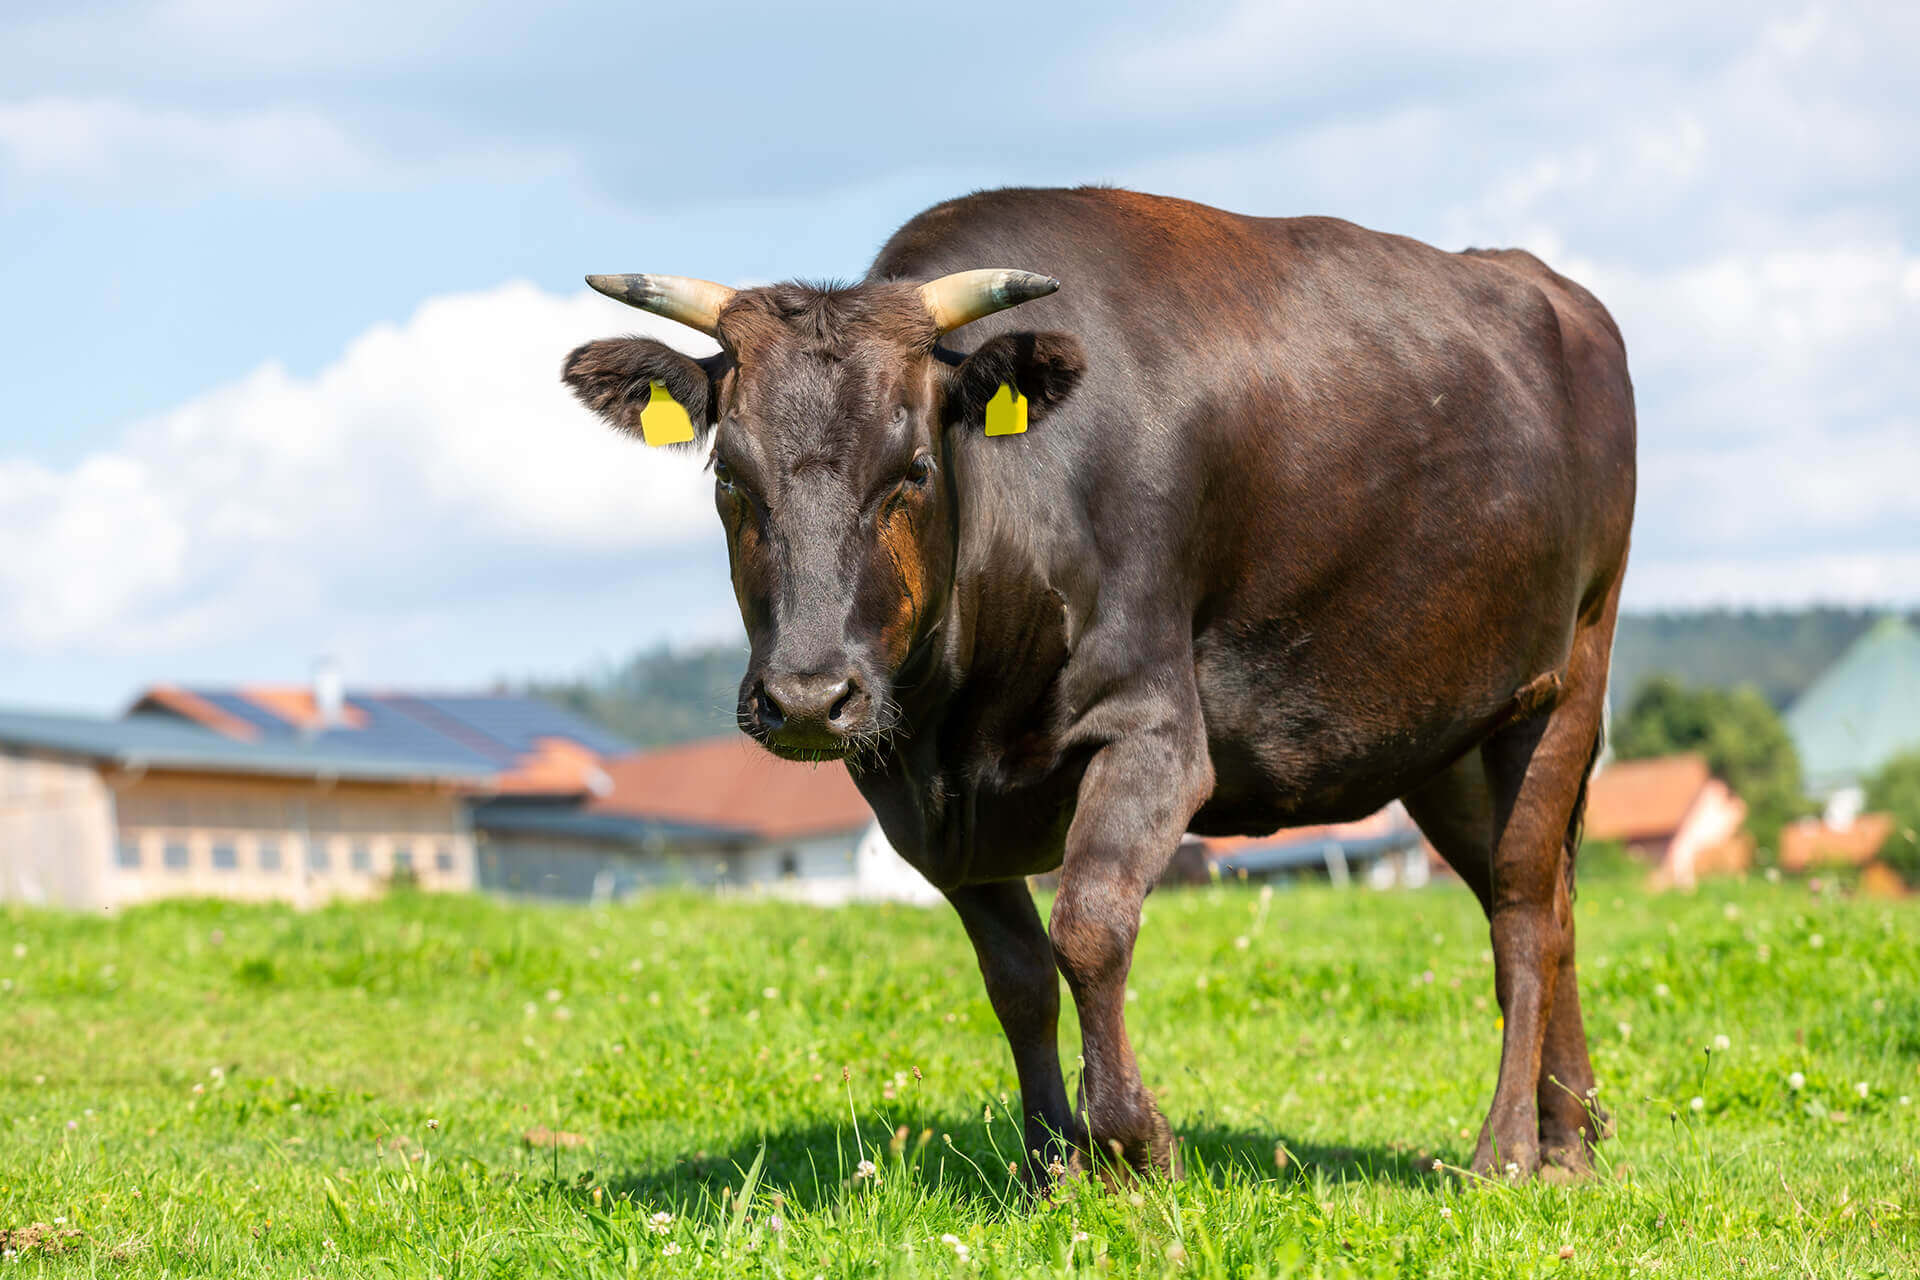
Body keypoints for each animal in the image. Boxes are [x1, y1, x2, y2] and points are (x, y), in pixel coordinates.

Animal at [560, 185, 1635, 1189]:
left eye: (913, 468)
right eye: (729, 476)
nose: (808, 699)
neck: (966, 722)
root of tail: (1551, 287)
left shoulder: (1154, 733)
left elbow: (1088, 929)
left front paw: (1135, 1141)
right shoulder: (921, 798)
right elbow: (1018, 979)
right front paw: (1051, 1164)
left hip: (1567, 676)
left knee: (1524, 910)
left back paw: (1506, 1148)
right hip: (1443, 734)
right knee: (1549, 905)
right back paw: (1572, 1134)